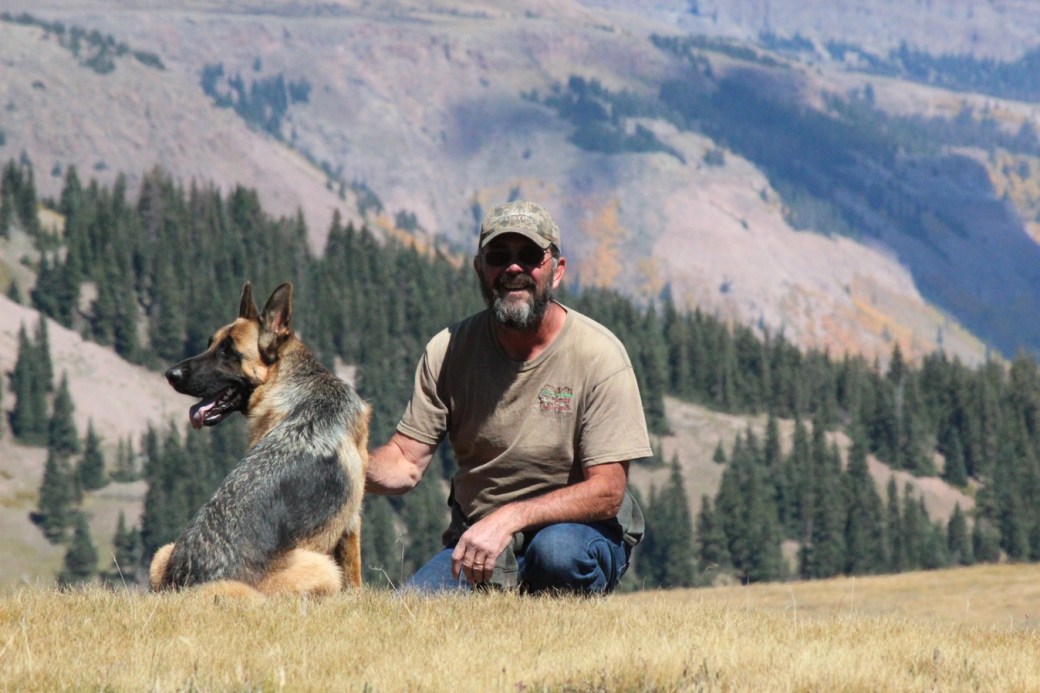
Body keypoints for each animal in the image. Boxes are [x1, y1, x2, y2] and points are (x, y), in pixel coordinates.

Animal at [148, 281, 370, 597]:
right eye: (210, 344)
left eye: (228, 351)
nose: (170, 374)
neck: (294, 381)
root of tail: (191, 586)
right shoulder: (352, 521)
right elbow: (355, 575)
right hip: (322, 568)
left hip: (162, 554)